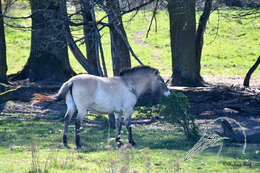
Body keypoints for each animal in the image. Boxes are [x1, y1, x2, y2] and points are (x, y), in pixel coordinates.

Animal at [32, 66, 171, 149]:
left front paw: (119, 142)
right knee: (77, 123)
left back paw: (65, 142)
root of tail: (71, 81)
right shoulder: (128, 110)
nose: (168, 93)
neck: (129, 85)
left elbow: (118, 125)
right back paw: (78, 144)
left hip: (71, 107)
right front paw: (132, 142)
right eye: (161, 81)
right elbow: (128, 125)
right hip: (82, 109)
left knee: (66, 120)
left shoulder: (117, 112)